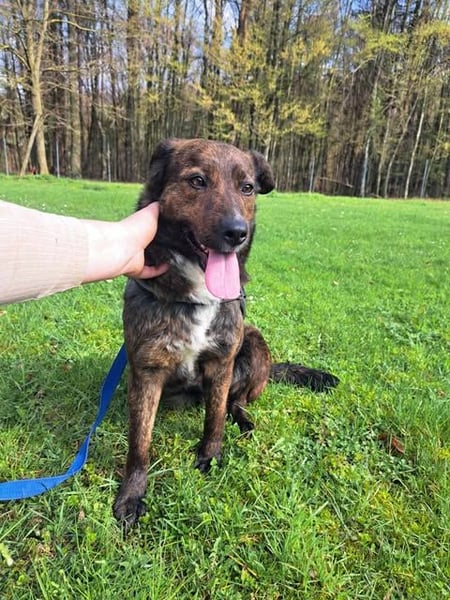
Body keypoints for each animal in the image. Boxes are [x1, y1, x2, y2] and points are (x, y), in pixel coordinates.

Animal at [113, 138, 338, 527]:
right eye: (197, 181)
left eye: (247, 188)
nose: (236, 233)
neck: (198, 296)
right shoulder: (147, 371)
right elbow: (140, 442)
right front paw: (132, 494)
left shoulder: (221, 363)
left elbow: (215, 417)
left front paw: (210, 456)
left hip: (254, 344)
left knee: (237, 401)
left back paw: (244, 420)